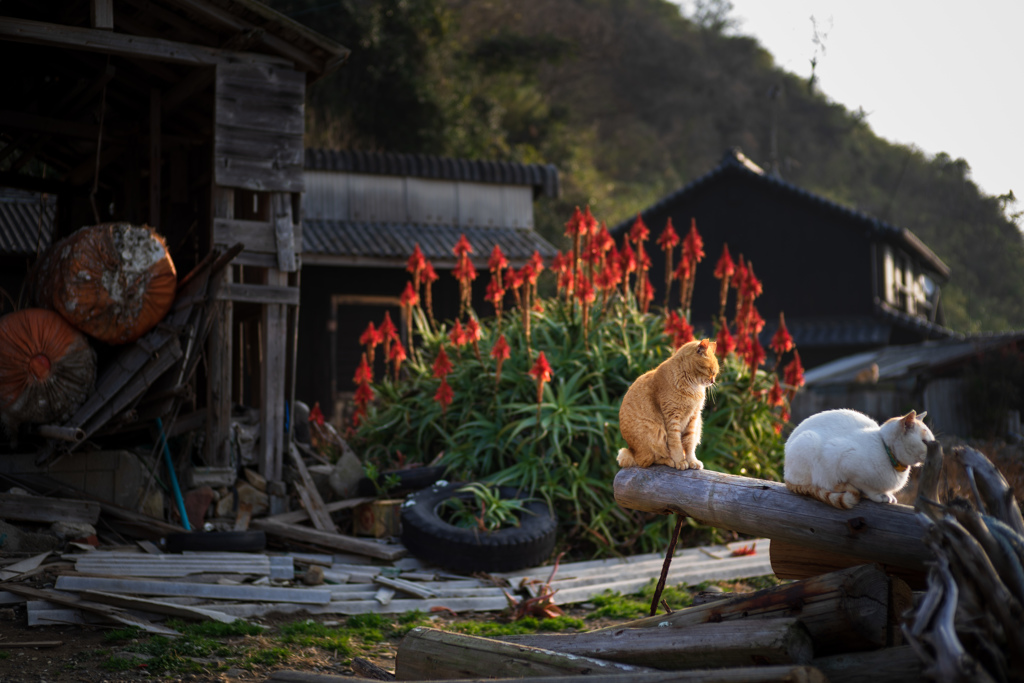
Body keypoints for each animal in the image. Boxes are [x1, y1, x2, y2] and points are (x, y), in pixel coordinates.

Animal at [614, 339, 720, 473]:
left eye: (715, 373)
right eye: (710, 370)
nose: (712, 381)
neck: (692, 387)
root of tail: (631, 451)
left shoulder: (694, 418)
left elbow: (689, 444)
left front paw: (692, 461)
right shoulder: (672, 418)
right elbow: (676, 443)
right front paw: (680, 461)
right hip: (654, 432)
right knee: (648, 461)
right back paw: (670, 461)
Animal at [782, 409, 937, 509]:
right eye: (925, 442)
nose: (935, 452)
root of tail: (785, 475)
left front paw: (887, 495)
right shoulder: (841, 459)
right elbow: (866, 487)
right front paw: (879, 496)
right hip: (808, 440)